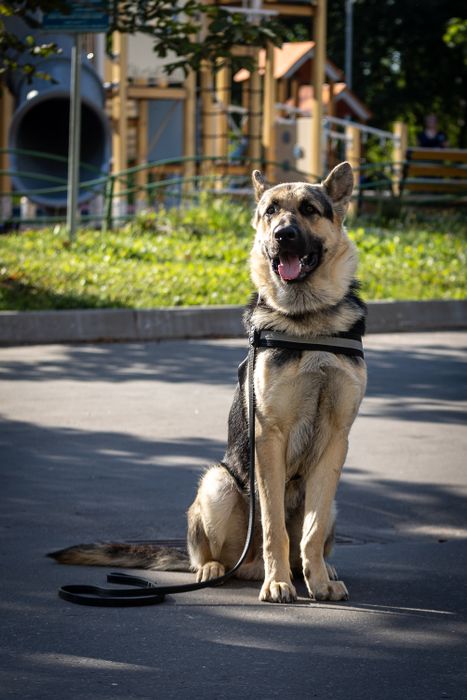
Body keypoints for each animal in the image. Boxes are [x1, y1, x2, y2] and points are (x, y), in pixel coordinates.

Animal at [50, 163, 366, 600]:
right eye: (271, 211)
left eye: (308, 209)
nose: (282, 235)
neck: (308, 322)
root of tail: (246, 566)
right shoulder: (269, 436)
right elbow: (274, 527)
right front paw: (278, 583)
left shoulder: (337, 439)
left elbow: (311, 531)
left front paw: (317, 580)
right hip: (218, 483)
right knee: (214, 552)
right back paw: (224, 569)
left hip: (332, 500)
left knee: (307, 536)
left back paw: (312, 570)